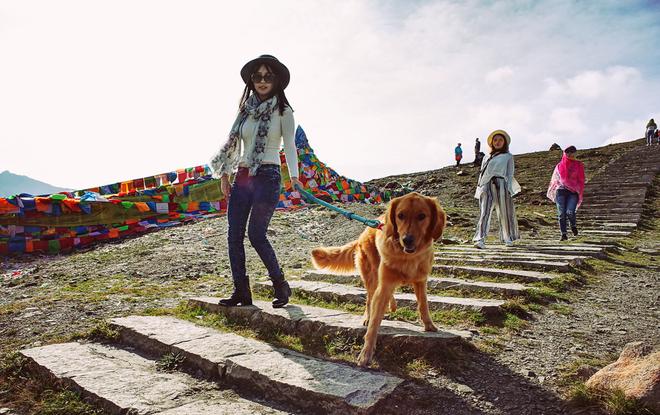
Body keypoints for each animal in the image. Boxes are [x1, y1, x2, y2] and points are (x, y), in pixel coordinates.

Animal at [310, 193, 446, 368]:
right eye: (400, 216)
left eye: (422, 216)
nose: (407, 239)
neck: (407, 257)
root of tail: (367, 228)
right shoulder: (385, 285)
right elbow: (374, 324)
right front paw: (366, 354)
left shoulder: (421, 281)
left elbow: (423, 304)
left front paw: (429, 325)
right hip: (372, 275)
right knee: (370, 299)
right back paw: (369, 316)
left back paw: (392, 305)